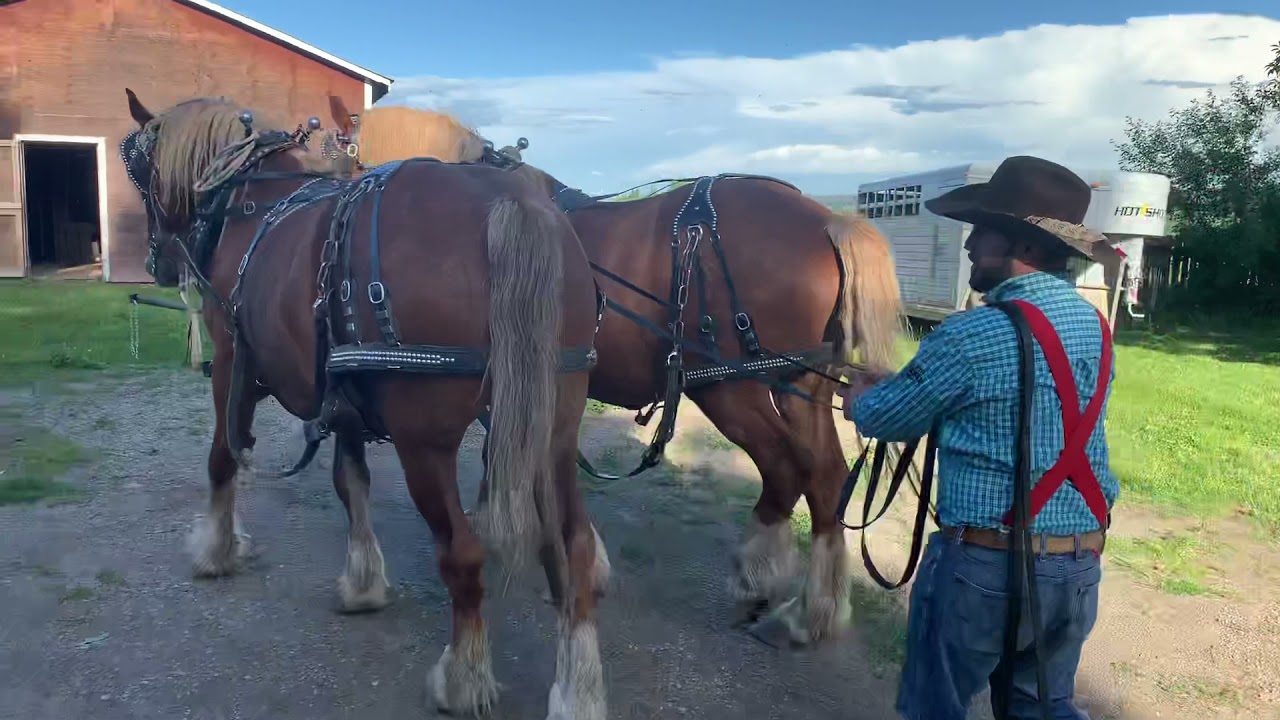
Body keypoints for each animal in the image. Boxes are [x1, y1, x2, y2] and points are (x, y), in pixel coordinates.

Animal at [118, 89, 611, 719]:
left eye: (140, 171)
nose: (158, 261)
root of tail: (509, 203)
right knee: (572, 549)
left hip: (424, 442)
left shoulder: (231, 361)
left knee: (462, 554)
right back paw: (578, 690)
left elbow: (223, 456)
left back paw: (464, 677)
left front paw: (217, 548)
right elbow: (350, 480)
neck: (253, 201)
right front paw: (363, 580)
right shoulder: (345, 390)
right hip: (555, 428)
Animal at [295, 101, 907, 648]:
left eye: (329, 154)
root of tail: (827, 219)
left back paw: (758, 578)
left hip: (731, 387)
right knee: (826, 477)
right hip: (802, 382)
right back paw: (813, 613)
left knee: (786, 466)